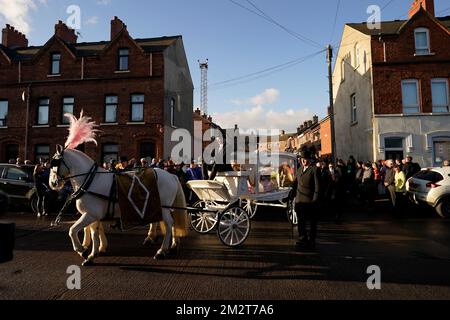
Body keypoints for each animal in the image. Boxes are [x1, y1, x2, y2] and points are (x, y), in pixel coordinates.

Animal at [48, 112, 188, 264]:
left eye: (54, 162)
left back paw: (162, 250)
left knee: (169, 224)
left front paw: (83, 250)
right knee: (171, 223)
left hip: (163, 207)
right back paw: (172, 245)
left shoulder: (90, 214)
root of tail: (171, 176)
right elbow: (94, 232)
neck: (90, 180)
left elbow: (73, 230)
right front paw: (94, 252)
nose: (52, 183)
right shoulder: (94, 215)